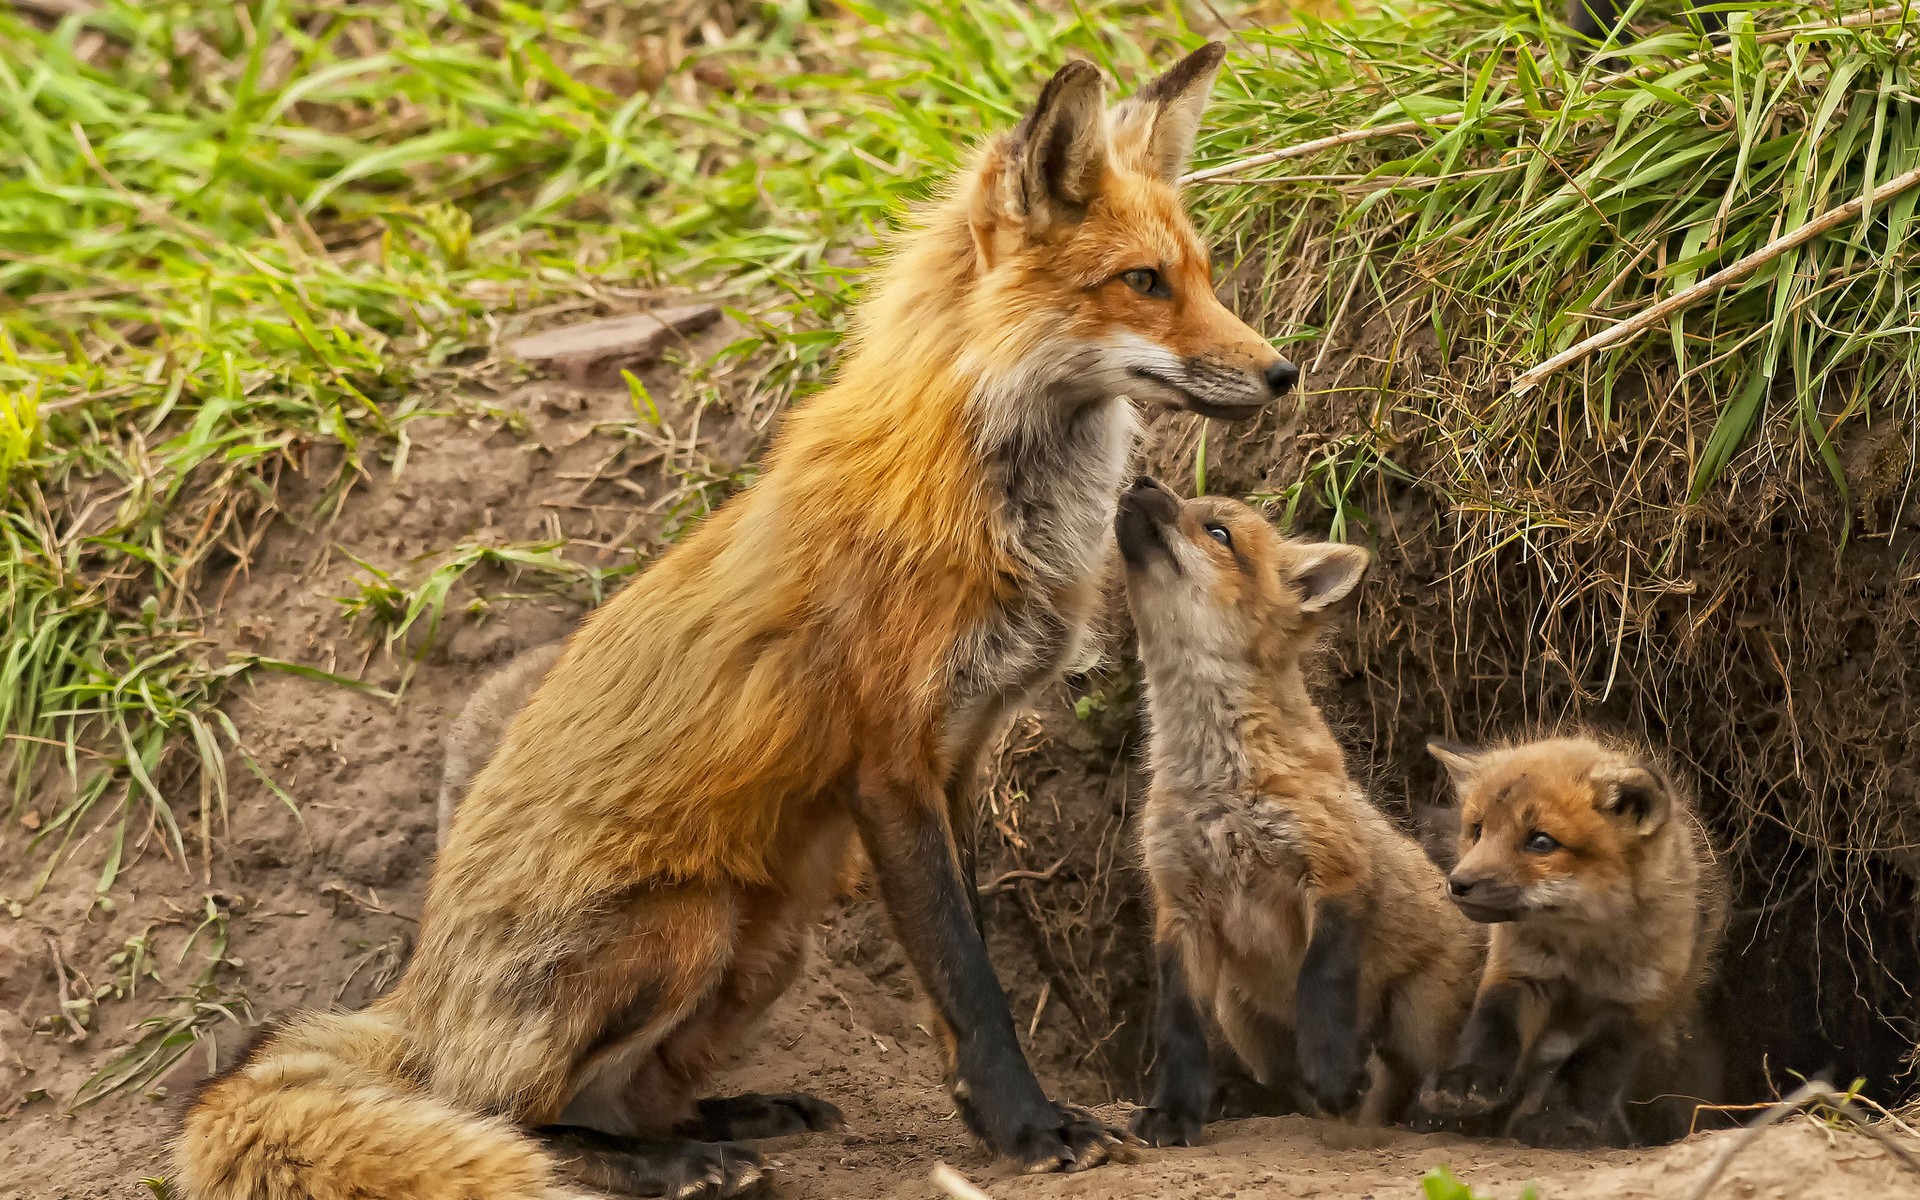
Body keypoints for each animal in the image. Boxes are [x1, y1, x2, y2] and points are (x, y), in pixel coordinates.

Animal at [176, 39, 1305, 1198]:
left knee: (619, 1097)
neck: (983, 493)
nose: (1283, 370)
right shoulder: (889, 766)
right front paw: (1030, 1128)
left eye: (1202, 275)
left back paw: (725, 1118)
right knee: (505, 1111)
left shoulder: (959, 756)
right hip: (686, 925)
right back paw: (666, 1161)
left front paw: (987, 1117)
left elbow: (964, 969)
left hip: (767, 944)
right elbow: (971, 985)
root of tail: (418, 999)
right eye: (1142, 283)